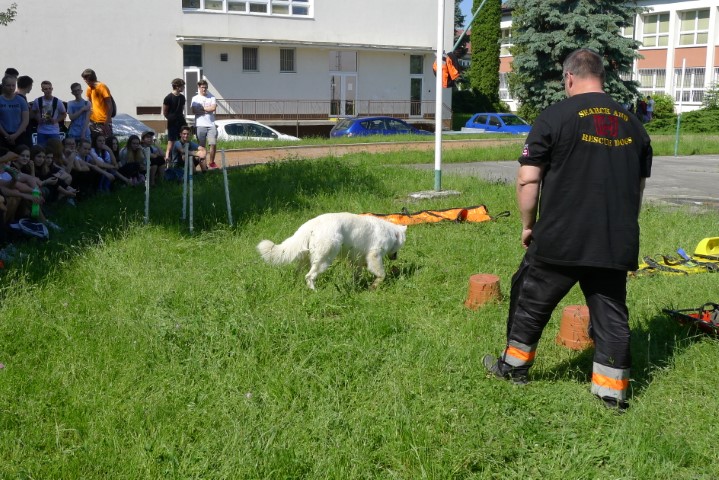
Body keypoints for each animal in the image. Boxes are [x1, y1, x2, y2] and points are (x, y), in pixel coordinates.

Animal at [257, 212, 407, 290]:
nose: (395, 258)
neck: (391, 233)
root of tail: (310, 226)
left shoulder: (356, 260)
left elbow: (357, 274)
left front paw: (358, 285)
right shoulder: (374, 255)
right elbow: (381, 274)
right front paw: (375, 285)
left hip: (306, 259)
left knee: (298, 273)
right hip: (324, 259)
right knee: (309, 276)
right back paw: (314, 291)